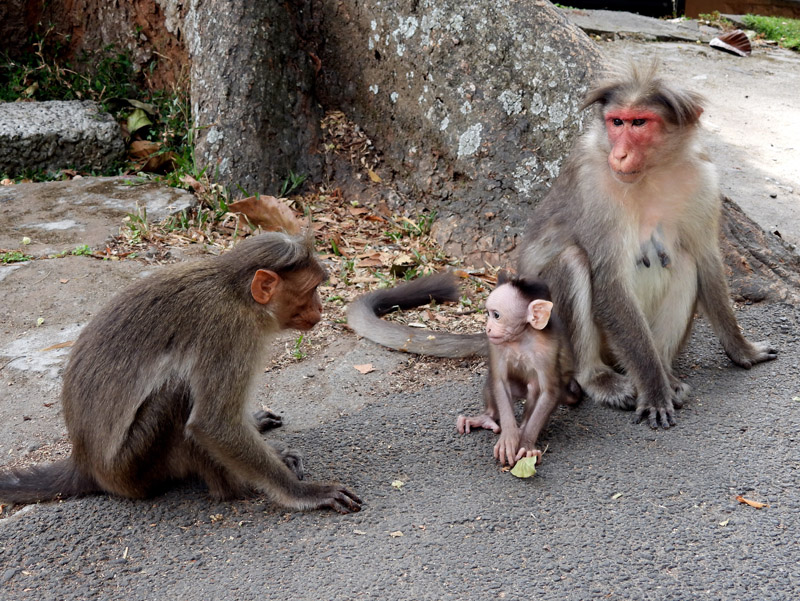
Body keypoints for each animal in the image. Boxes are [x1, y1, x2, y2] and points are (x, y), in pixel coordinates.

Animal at [0, 232, 362, 514]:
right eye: (312, 289)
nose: (321, 308)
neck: (238, 294)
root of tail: (84, 461)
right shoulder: (230, 332)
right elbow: (211, 423)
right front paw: (305, 494)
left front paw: (262, 432)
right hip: (134, 469)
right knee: (176, 391)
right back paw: (232, 488)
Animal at [347, 62, 776, 429]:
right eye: (616, 122)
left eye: (639, 122)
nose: (620, 152)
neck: (652, 172)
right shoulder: (594, 185)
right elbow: (607, 278)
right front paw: (653, 392)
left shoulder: (702, 180)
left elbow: (706, 260)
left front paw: (741, 350)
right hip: (553, 345)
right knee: (573, 262)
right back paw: (601, 378)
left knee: (684, 262)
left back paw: (666, 373)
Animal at [456, 273, 581, 466]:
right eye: (488, 314)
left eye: (496, 315)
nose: (488, 328)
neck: (522, 336)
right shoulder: (496, 344)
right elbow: (499, 381)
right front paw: (509, 437)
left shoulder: (546, 350)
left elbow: (549, 392)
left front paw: (526, 444)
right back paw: (488, 417)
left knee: (535, 386)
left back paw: (522, 428)